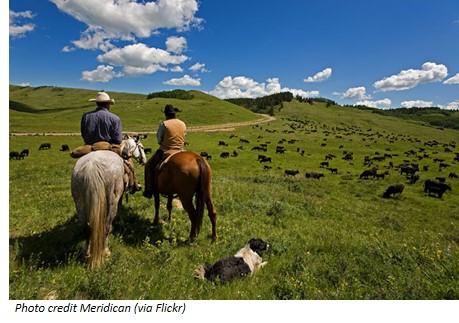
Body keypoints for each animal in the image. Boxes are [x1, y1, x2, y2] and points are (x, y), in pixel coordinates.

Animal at [71, 135, 146, 270]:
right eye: (141, 147)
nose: (144, 161)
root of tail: (92, 166)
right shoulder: (119, 196)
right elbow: (120, 208)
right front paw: (122, 222)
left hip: (79, 203)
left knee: (87, 229)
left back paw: (87, 253)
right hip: (111, 202)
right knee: (106, 227)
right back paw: (106, 251)